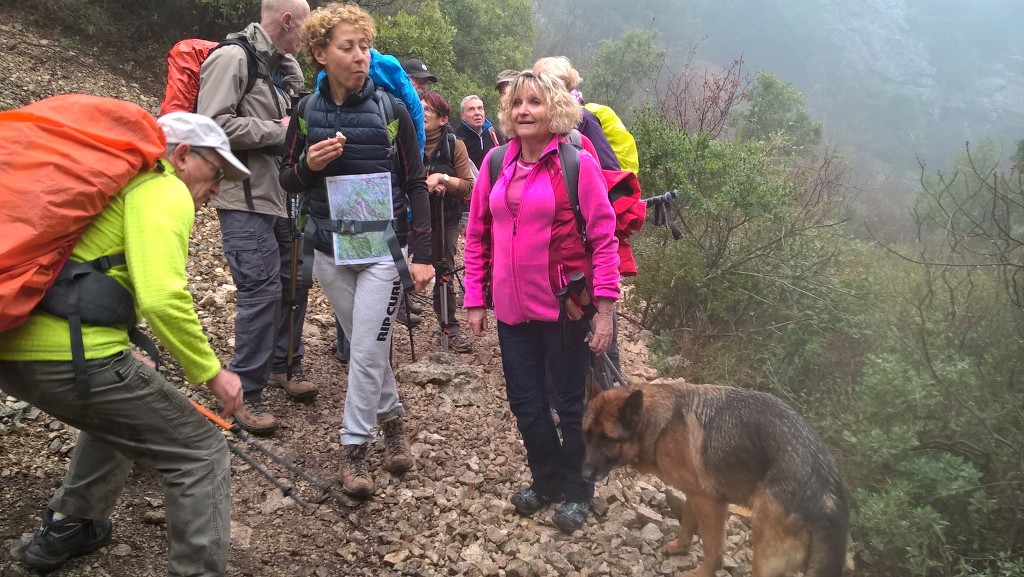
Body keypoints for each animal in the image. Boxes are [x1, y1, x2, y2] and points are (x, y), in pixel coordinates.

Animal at [585, 379, 847, 577]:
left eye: (608, 439)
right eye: (586, 433)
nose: (584, 474)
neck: (659, 425)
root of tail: (828, 492)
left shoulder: (711, 503)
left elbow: (712, 550)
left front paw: (701, 573)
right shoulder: (694, 494)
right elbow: (687, 525)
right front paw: (679, 548)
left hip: (764, 550)